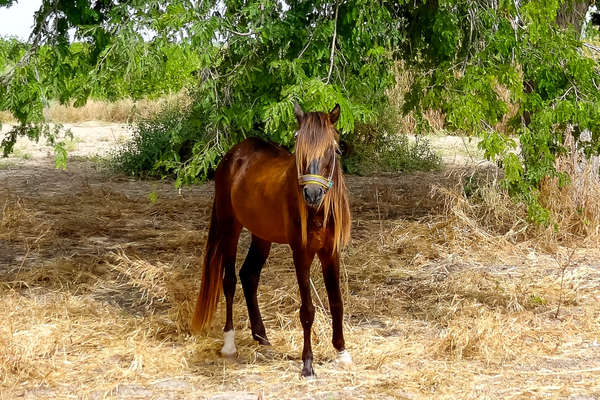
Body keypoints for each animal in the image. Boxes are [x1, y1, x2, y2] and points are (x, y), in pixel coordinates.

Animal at [191, 101, 352, 376]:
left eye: (333, 148)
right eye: (298, 145)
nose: (311, 193)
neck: (318, 210)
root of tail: (234, 154)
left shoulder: (331, 252)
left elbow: (337, 302)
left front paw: (341, 352)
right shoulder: (301, 253)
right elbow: (307, 310)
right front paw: (307, 364)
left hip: (261, 235)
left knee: (249, 275)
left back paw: (261, 336)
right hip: (230, 227)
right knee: (230, 280)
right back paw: (230, 345)